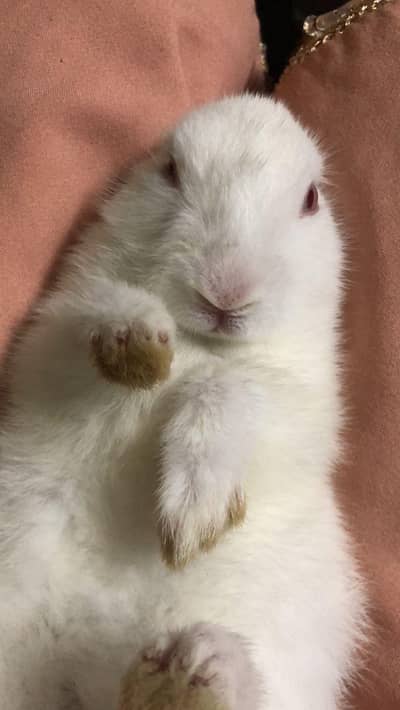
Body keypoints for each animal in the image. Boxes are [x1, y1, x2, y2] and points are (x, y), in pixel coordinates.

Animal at [0, 94, 367, 710]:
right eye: (170, 170)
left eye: (311, 199)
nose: (227, 291)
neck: (203, 344)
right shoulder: (52, 346)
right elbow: (98, 318)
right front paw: (140, 341)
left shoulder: (298, 407)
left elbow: (228, 389)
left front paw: (196, 518)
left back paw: (194, 668)